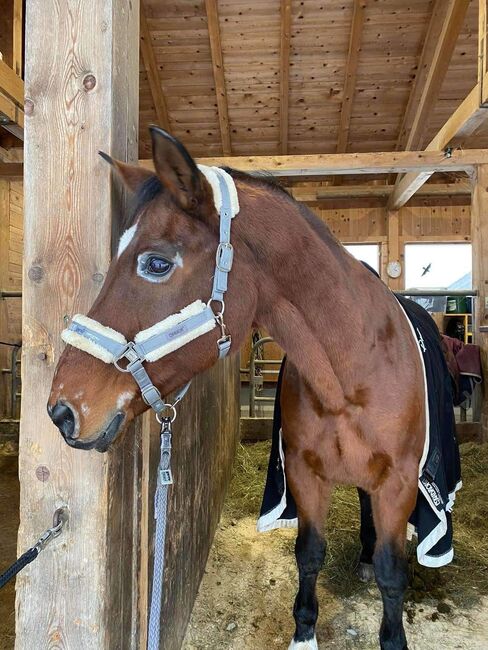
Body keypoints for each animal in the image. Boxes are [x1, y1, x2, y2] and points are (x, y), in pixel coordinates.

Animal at [47, 128, 426, 648]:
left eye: (157, 263)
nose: (61, 410)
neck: (351, 375)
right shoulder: (306, 476)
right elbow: (309, 553)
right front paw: (304, 634)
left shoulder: (398, 483)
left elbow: (393, 573)